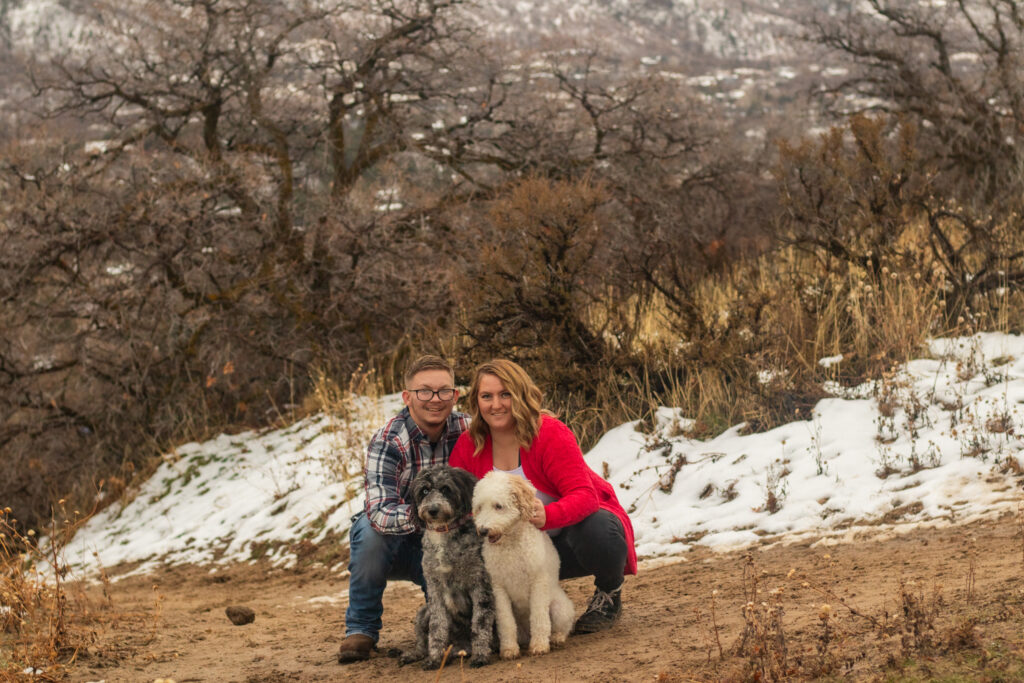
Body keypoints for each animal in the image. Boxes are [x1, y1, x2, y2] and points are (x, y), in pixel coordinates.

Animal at [397, 464, 493, 667]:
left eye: (445, 489)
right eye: (424, 491)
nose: (433, 510)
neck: (443, 532)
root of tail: (461, 648)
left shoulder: (479, 585)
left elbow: (480, 623)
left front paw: (481, 655)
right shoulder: (435, 591)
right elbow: (437, 626)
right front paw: (434, 659)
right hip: (422, 612)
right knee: (421, 641)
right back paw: (415, 654)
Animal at [471, 471, 577, 655]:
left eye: (498, 506)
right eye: (479, 507)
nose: (483, 530)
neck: (511, 545)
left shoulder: (538, 582)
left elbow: (539, 616)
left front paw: (540, 645)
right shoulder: (498, 587)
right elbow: (506, 622)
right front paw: (509, 649)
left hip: (560, 608)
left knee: (563, 627)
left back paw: (556, 638)